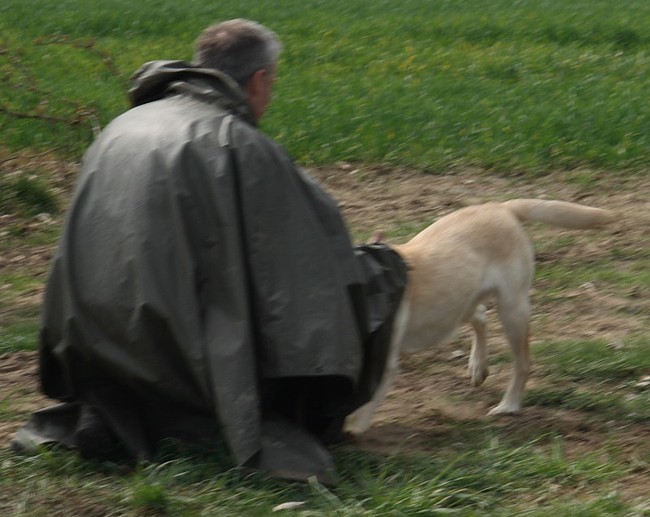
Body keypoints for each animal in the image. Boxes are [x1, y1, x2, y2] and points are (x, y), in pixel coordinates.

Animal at [346, 198, 612, 432]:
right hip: (457, 305)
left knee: (522, 363)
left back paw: (508, 406)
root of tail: (502, 207)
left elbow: (359, 413)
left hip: (512, 307)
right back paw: (478, 365)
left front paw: (351, 435)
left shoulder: (383, 364)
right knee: (481, 315)